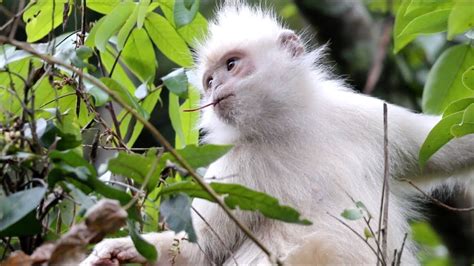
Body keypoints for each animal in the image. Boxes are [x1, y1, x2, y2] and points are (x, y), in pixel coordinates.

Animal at [82, 1, 474, 264]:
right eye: (209, 81)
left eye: (231, 65)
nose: (215, 87)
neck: (284, 129)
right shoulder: (231, 169)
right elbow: (198, 251)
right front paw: (123, 249)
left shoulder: (365, 118)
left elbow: (444, 150)